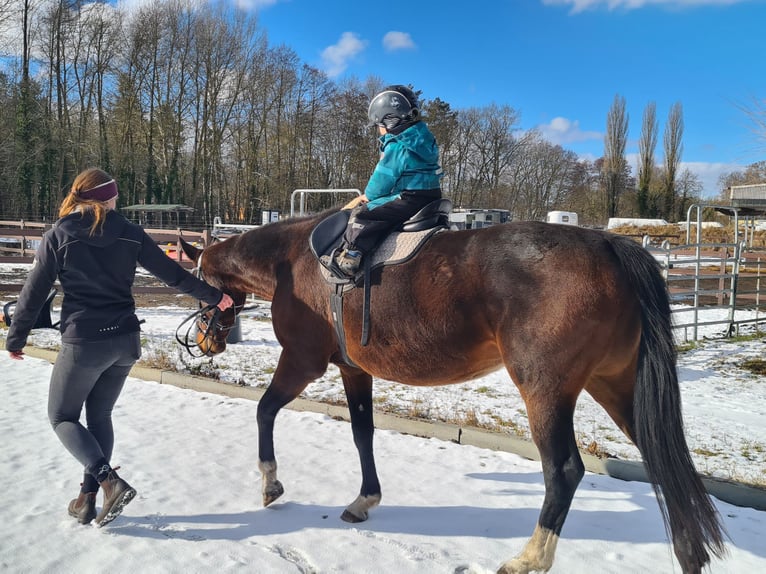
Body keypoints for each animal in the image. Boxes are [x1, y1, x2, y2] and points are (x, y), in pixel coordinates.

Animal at [179, 208, 725, 574]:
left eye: (197, 282)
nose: (205, 340)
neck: (292, 260)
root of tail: (611, 246)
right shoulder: (354, 371)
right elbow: (363, 434)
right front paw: (365, 499)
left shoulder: (301, 362)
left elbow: (265, 410)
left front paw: (270, 483)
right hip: (617, 385)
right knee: (666, 461)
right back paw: (689, 553)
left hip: (546, 390)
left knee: (564, 470)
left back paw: (530, 557)